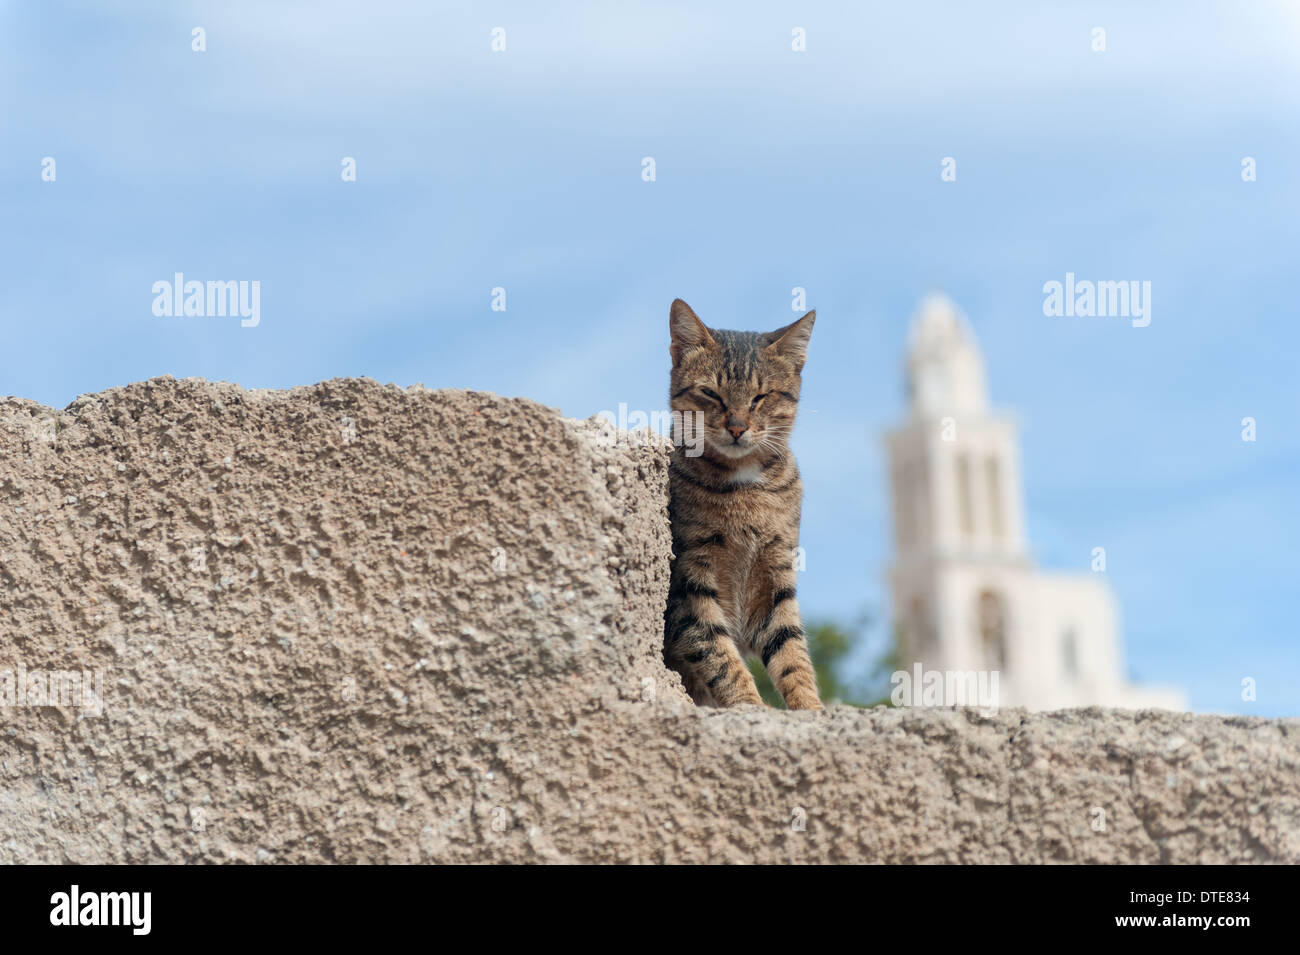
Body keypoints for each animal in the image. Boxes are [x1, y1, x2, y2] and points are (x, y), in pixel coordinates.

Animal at [660, 298, 821, 712]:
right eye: (711, 393)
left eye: (761, 397)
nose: (736, 427)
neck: (743, 485)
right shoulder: (689, 584)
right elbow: (719, 655)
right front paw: (750, 705)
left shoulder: (776, 575)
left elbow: (792, 651)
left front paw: (812, 709)